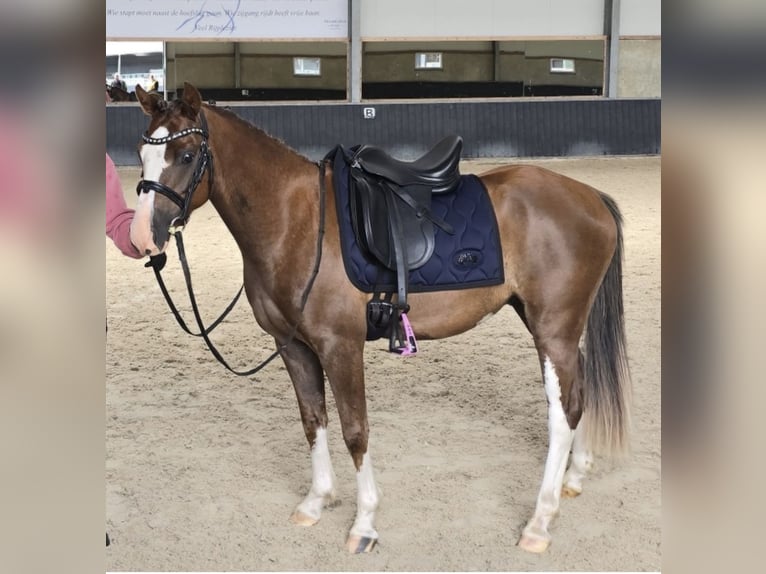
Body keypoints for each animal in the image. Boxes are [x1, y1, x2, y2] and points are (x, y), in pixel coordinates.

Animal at [129, 82, 630, 555]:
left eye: (186, 154)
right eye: (142, 154)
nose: (142, 238)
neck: (295, 222)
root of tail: (591, 196)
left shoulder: (340, 345)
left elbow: (355, 430)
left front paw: (364, 524)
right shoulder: (293, 346)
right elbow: (313, 420)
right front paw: (317, 501)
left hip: (553, 329)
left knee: (562, 412)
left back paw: (539, 522)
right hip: (548, 324)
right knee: (580, 390)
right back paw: (573, 479)